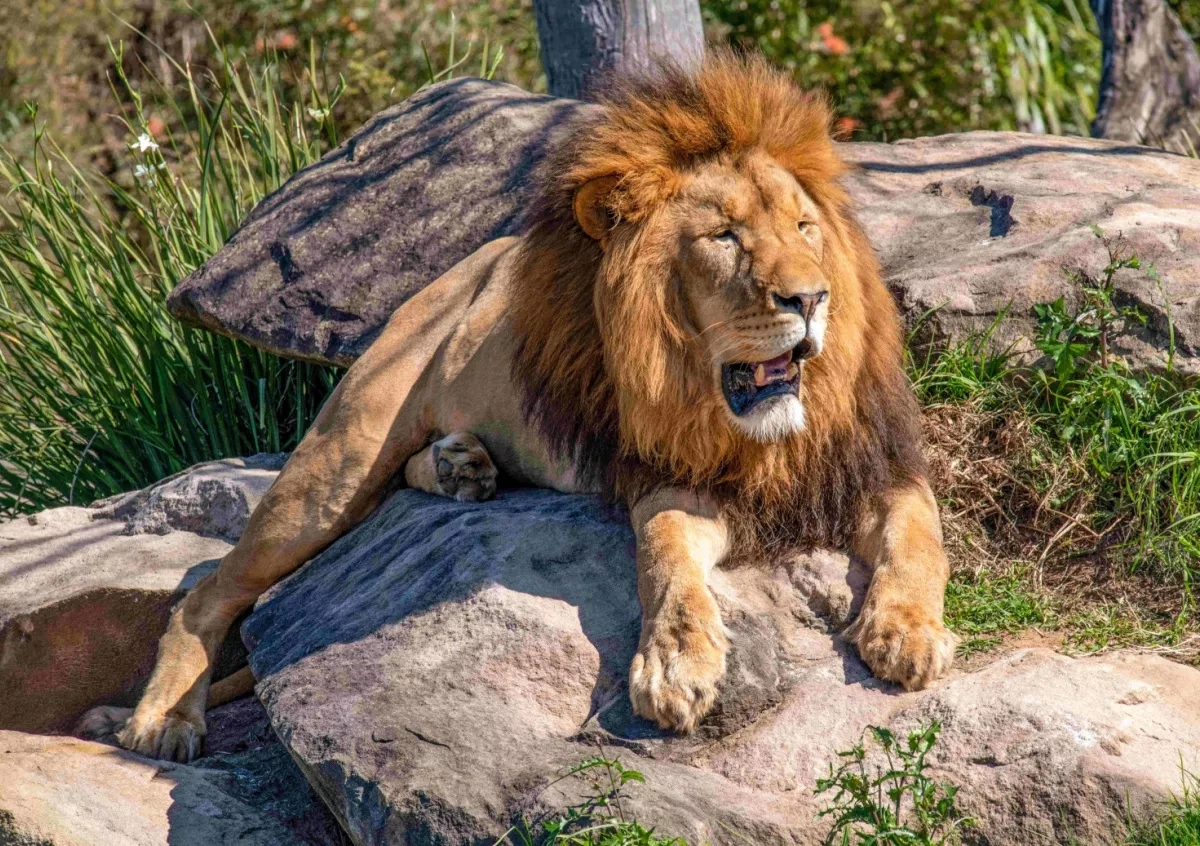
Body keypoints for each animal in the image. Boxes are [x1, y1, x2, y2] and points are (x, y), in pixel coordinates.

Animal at [77, 52, 955, 762]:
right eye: (726, 238)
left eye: (805, 227)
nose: (811, 298)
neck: (759, 431)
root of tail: (455, 271)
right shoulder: (670, 480)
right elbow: (668, 563)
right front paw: (677, 667)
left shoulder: (878, 464)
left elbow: (922, 538)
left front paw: (908, 634)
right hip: (337, 462)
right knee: (209, 589)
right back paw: (162, 721)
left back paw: (459, 468)